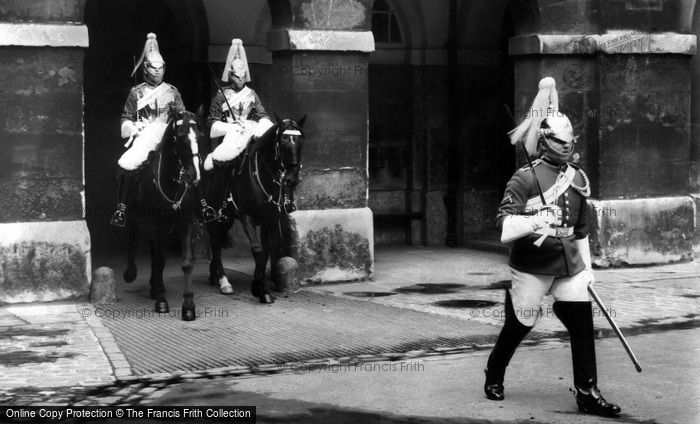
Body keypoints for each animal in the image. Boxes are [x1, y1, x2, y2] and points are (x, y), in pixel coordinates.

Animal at [122, 107, 205, 320]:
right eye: (181, 137)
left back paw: (154, 285)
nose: (194, 175)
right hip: (135, 218)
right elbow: (159, 261)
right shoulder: (155, 224)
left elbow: (186, 263)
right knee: (132, 239)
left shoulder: (186, 223)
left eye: (200, 136)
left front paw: (188, 305)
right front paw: (161, 301)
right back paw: (131, 273)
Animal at [206, 114, 308, 304]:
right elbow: (257, 249)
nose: (291, 179)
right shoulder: (247, 216)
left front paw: (262, 288)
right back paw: (224, 282)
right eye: (282, 141)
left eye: (300, 142)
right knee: (215, 244)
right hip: (213, 218)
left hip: (227, 219)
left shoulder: (270, 217)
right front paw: (258, 288)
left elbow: (266, 250)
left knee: (218, 242)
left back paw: (214, 275)